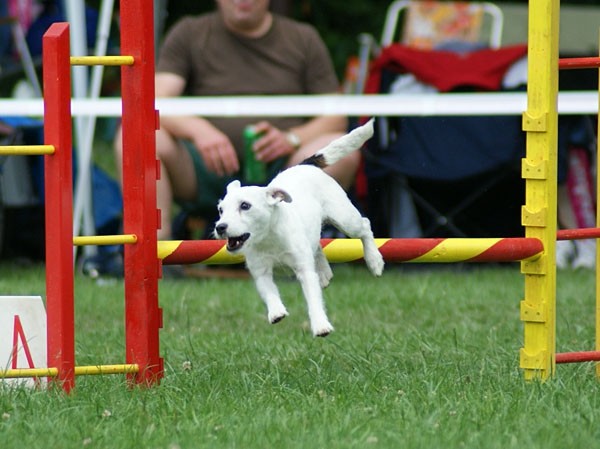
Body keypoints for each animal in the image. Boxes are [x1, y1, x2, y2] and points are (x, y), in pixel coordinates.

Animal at [216, 119, 384, 336]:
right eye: (221, 210)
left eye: (245, 206)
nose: (220, 227)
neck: (269, 238)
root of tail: (307, 164)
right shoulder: (261, 271)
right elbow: (269, 292)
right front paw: (276, 311)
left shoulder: (304, 270)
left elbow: (313, 299)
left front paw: (320, 325)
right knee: (317, 244)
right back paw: (324, 271)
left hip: (345, 219)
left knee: (365, 226)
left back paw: (374, 260)